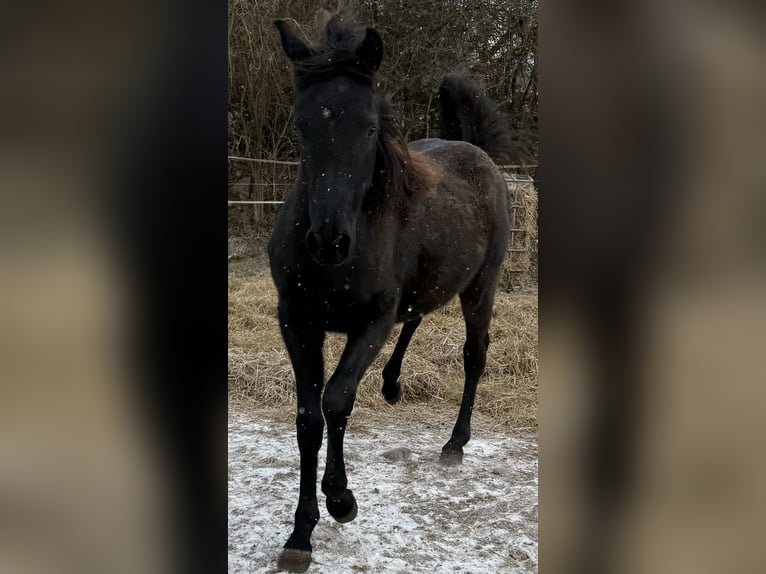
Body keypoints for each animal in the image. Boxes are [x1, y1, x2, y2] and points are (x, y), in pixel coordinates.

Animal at [268, 12, 516, 572]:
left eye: (369, 127)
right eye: (303, 124)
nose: (330, 241)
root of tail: (479, 153)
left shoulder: (371, 321)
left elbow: (336, 400)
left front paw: (341, 501)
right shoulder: (297, 322)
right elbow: (307, 418)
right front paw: (300, 534)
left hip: (481, 289)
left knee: (474, 356)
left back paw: (455, 444)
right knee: (418, 314)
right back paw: (392, 383)